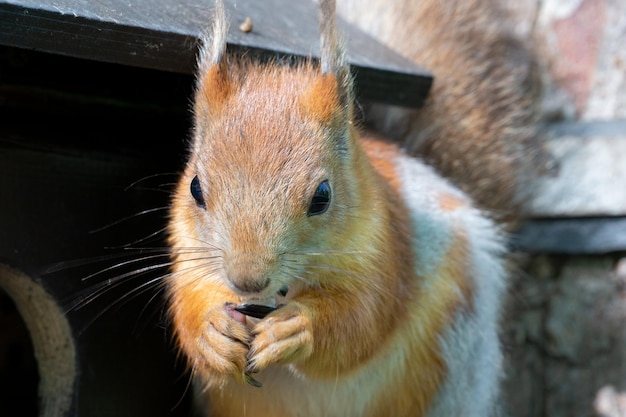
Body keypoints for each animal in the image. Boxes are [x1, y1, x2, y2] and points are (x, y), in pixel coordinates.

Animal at [162, 0, 532, 414]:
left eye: (322, 196)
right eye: (195, 188)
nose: (247, 280)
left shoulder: (387, 250)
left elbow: (362, 320)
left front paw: (298, 328)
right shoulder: (188, 250)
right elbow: (188, 297)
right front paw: (212, 333)